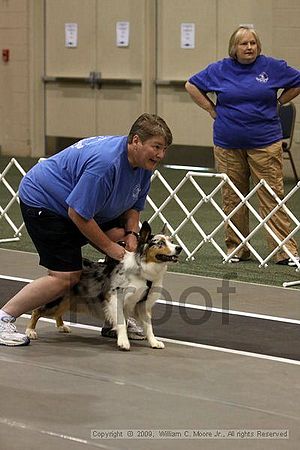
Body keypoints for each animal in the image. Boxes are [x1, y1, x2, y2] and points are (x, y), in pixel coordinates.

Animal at [24, 221, 182, 352]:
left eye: (172, 241)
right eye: (160, 243)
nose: (179, 248)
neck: (142, 270)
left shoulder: (143, 304)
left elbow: (149, 327)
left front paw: (154, 342)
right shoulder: (115, 299)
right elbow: (121, 322)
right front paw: (123, 342)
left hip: (67, 300)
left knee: (58, 313)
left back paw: (62, 326)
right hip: (57, 298)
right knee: (37, 310)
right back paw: (30, 331)